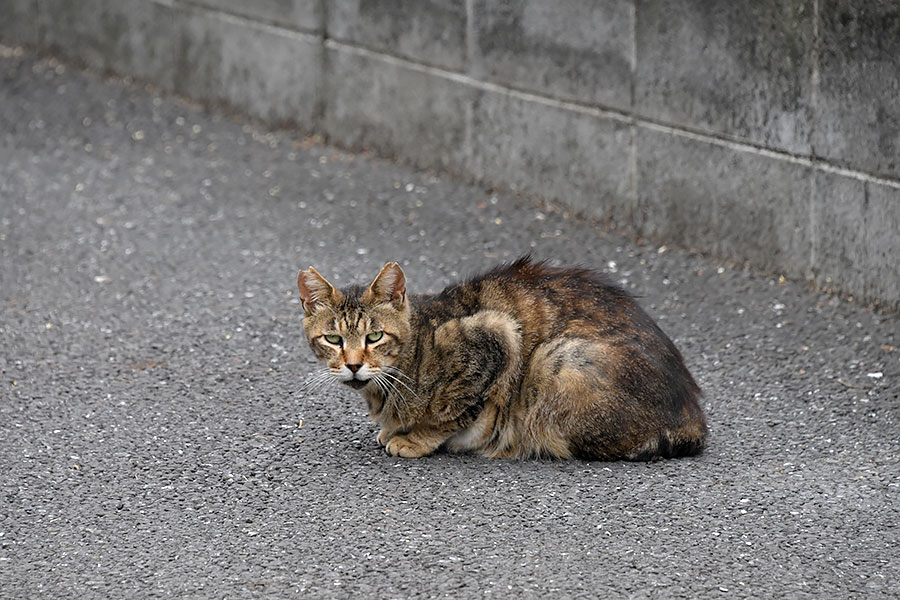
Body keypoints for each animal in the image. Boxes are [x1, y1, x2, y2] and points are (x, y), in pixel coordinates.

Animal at [298, 256, 708, 460]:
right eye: (333, 339)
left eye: (375, 336)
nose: (353, 365)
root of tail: (693, 420)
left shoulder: (497, 336)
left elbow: (454, 412)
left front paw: (415, 439)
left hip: (556, 360)